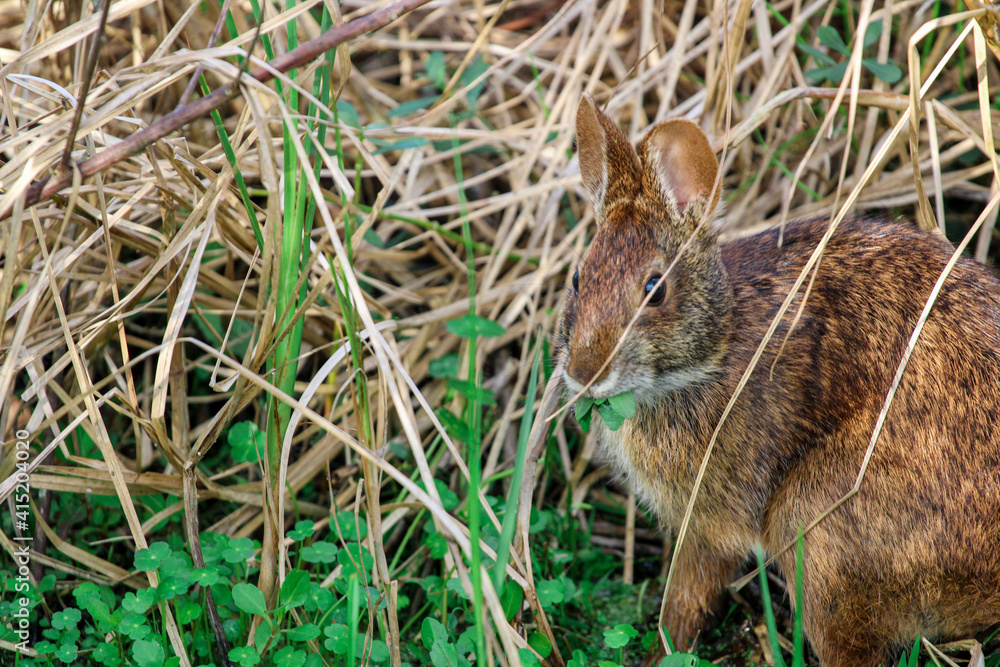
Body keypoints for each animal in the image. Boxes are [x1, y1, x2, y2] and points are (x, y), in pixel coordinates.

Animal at [558, 94, 1000, 667]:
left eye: (655, 288)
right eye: (577, 279)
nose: (584, 373)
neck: (715, 351)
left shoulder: (711, 520)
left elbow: (687, 597)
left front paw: (662, 652)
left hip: (819, 532)